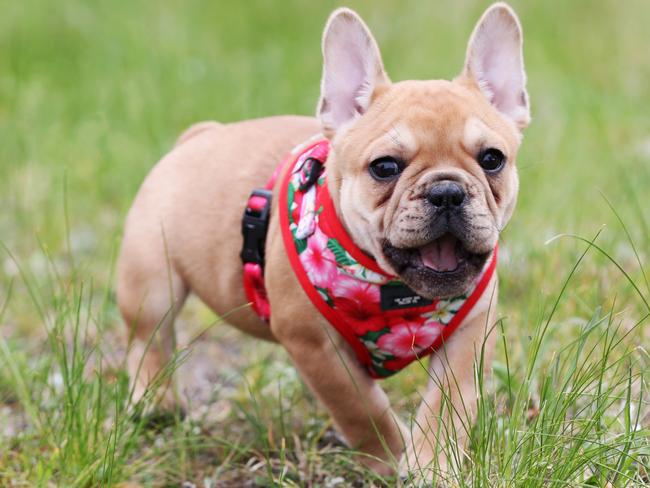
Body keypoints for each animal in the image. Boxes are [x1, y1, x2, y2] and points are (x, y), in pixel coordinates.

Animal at [116, 1, 528, 482]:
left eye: (492, 159)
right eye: (385, 167)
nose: (447, 191)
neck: (396, 292)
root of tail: (198, 135)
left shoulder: (470, 332)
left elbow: (448, 405)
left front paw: (433, 466)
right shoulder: (314, 345)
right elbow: (360, 406)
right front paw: (388, 458)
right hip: (150, 282)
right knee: (150, 339)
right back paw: (156, 404)